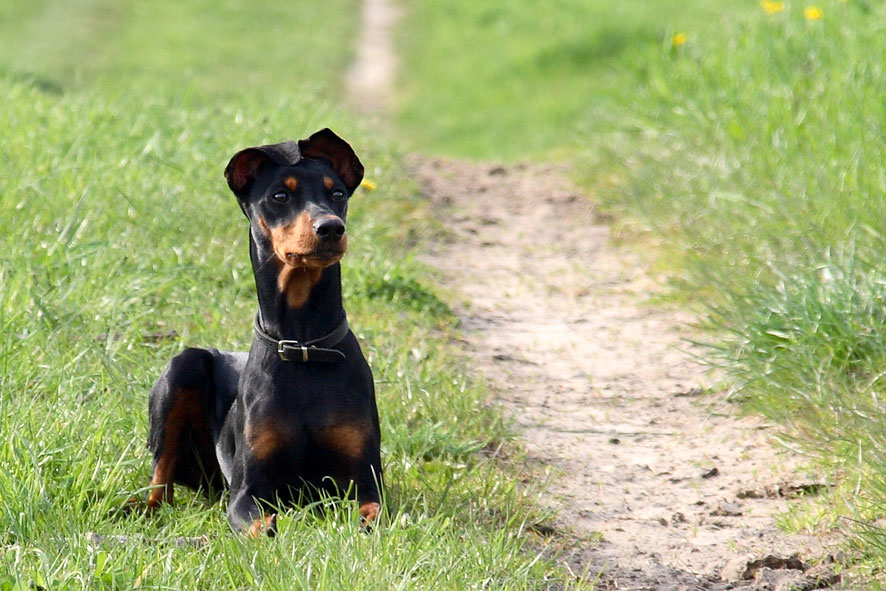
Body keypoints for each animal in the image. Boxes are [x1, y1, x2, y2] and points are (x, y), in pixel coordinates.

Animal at [145, 130, 382, 536]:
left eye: (337, 193)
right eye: (280, 196)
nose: (331, 228)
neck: (303, 346)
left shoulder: (366, 480)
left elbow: (372, 513)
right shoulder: (247, 490)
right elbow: (261, 525)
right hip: (184, 365)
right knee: (160, 477)